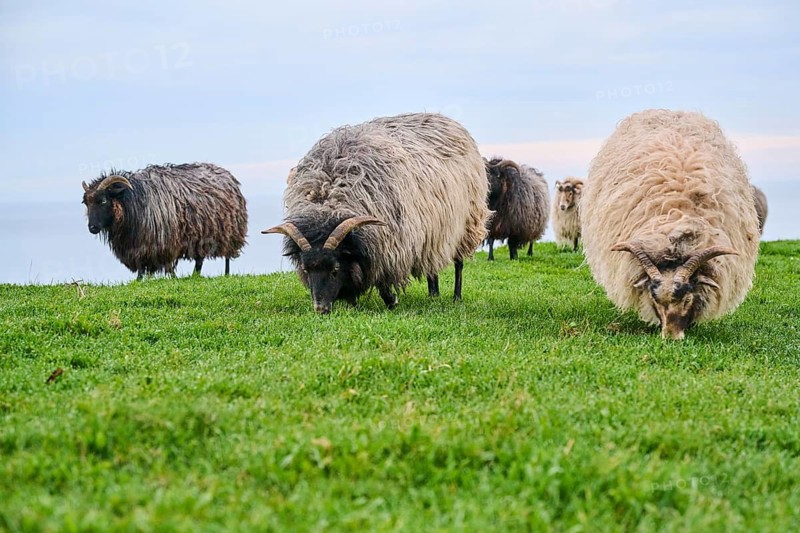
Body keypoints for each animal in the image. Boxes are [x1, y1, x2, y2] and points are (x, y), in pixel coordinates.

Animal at [81, 163, 248, 279]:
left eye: (103, 201)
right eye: (86, 203)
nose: (92, 227)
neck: (131, 202)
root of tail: (227, 175)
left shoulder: (163, 242)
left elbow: (165, 265)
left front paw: (172, 278)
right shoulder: (135, 244)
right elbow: (141, 266)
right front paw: (139, 281)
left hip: (229, 232)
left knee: (227, 257)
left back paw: (226, 274)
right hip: (202, 235)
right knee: (199, 260)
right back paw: (195, 276)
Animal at [262, 112, 489, 314]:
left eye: (335, 269)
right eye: (306, 269)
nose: (321, 309)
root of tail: (445, 119)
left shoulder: (389, 245)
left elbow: (382, 280)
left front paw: (391, 301)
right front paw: (352, 303)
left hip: (466, 223)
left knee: (459, 263)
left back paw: (456, 296)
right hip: (433, 230)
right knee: (431, 265)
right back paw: (434, 295)